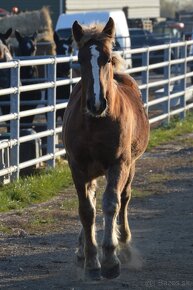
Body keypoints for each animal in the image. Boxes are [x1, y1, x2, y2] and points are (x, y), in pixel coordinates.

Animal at [61, 17, 149, 280]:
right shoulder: (78, 167)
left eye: (107, 58)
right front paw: (91, 261)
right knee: (91, 198)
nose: (96, 103)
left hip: (130, 166)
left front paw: (110, 259)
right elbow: (86, 211)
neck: (95, 123)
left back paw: (125, 246)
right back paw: (81, 251)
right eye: (80, 60)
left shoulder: (118, 164)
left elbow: (111, 204)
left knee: (124, 198)